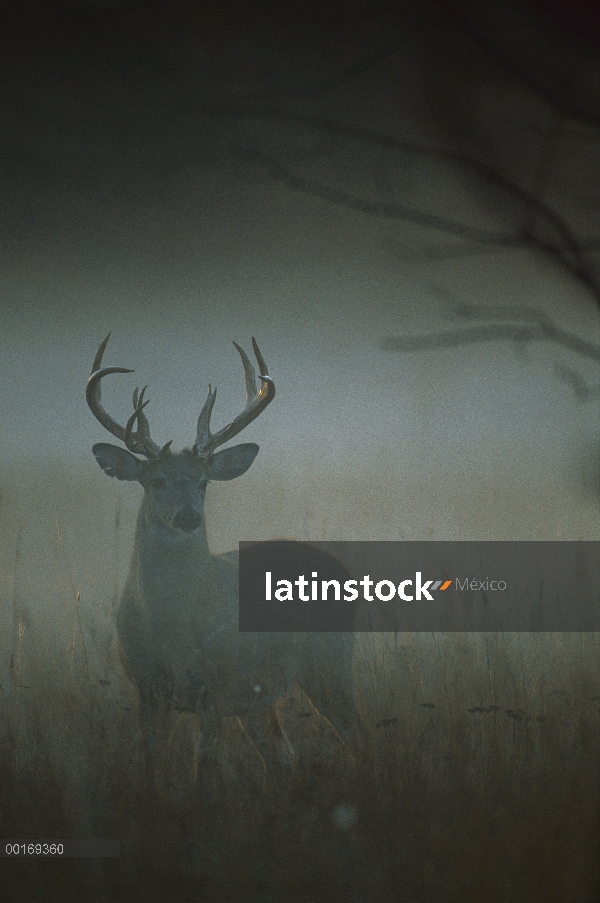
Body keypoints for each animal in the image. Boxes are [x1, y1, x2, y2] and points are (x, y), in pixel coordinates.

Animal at [86, 336, 358, 780]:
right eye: (155, 480)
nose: (188, 517)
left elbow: (206, 769)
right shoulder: (146, 687)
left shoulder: (215, 684)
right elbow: (149, 763)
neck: (171, 627)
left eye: (203, 482)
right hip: (261, 696)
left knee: (359, 736)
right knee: (284, 754)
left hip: (331, 662)